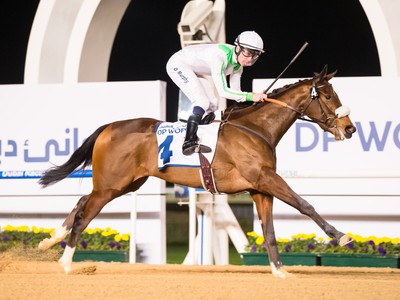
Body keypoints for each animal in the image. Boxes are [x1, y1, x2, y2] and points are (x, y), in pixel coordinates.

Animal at [37, 65, 356, 276]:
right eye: (328, 96)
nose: (350, 128)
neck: (256, 128)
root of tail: (109, 127)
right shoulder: (265, 178)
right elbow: (304, 204)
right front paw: (341, 235)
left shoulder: (259, 188)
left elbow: (269, 230)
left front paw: (279, 271)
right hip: (111, 185)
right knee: (85, 213)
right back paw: (66, 262)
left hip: (126, 183)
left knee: (81, 202)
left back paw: (49, 240)